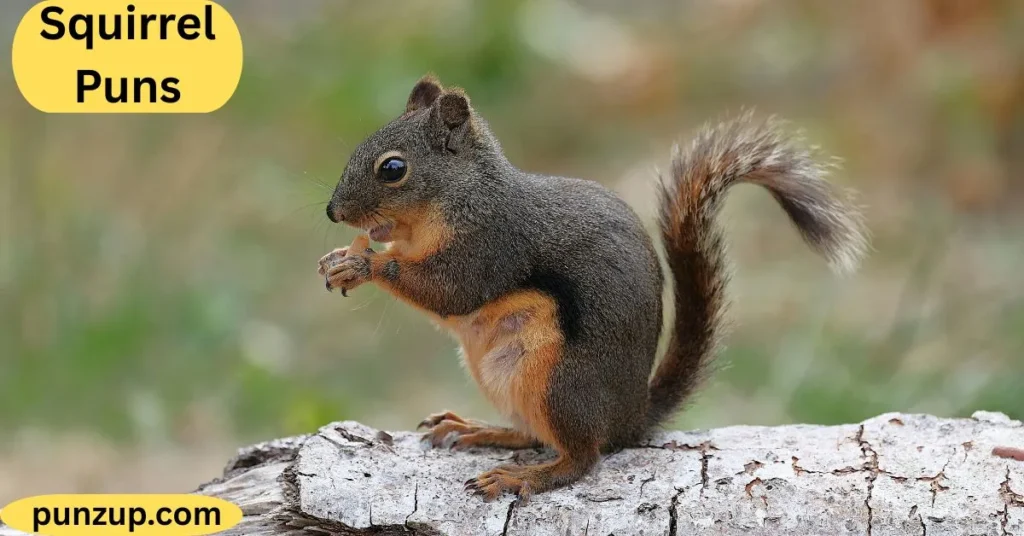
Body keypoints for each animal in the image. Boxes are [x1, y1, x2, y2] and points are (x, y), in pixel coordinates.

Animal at [317, 75, 868, 501]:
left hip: (559, 383)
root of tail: (628, 419)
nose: (332, 212)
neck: (459, 198)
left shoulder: (492, 244)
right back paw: (480, 429)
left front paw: (364, 265)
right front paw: (338, 257)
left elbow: (449, 291)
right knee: (531, 433)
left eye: (393, 168)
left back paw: (524, 478)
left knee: (581, 457)